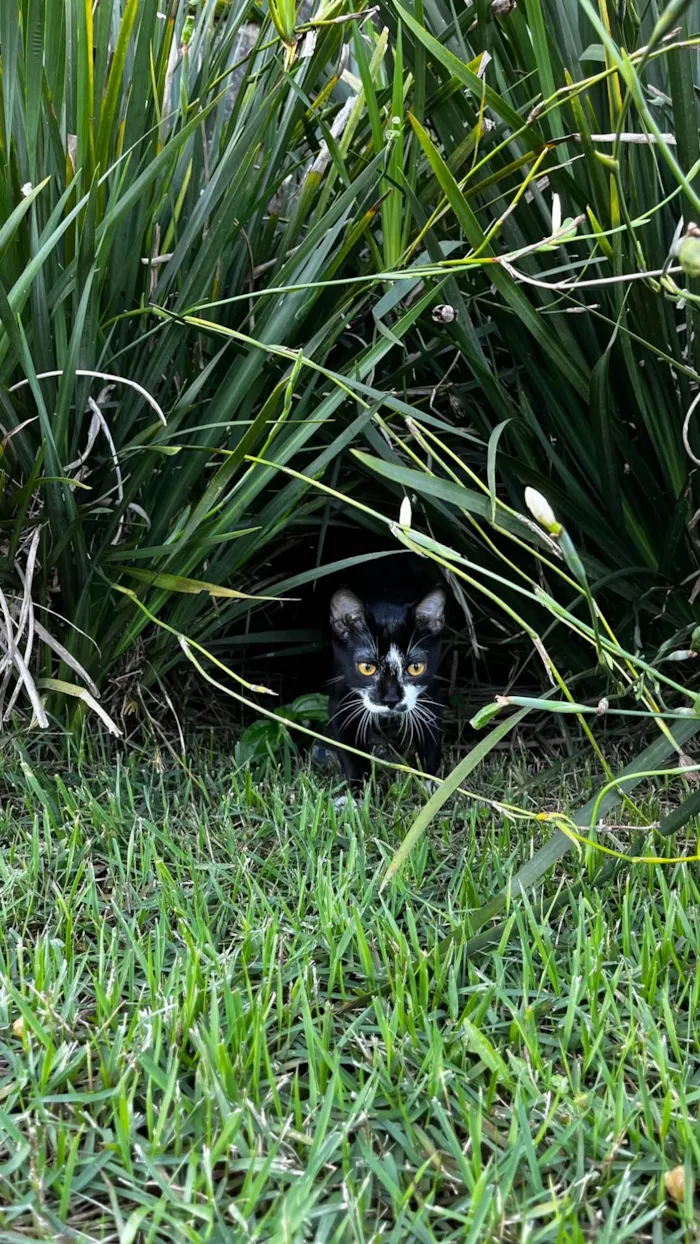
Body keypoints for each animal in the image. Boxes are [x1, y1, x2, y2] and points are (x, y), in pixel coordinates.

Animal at [328, 582, 447, 786]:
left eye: (416, 667)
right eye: (367, 667)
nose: (391, 699)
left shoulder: (430, 695)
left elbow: (430, 737)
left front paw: (430, 785)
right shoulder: (341, 696)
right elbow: (351, 751)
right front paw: (359, 790)